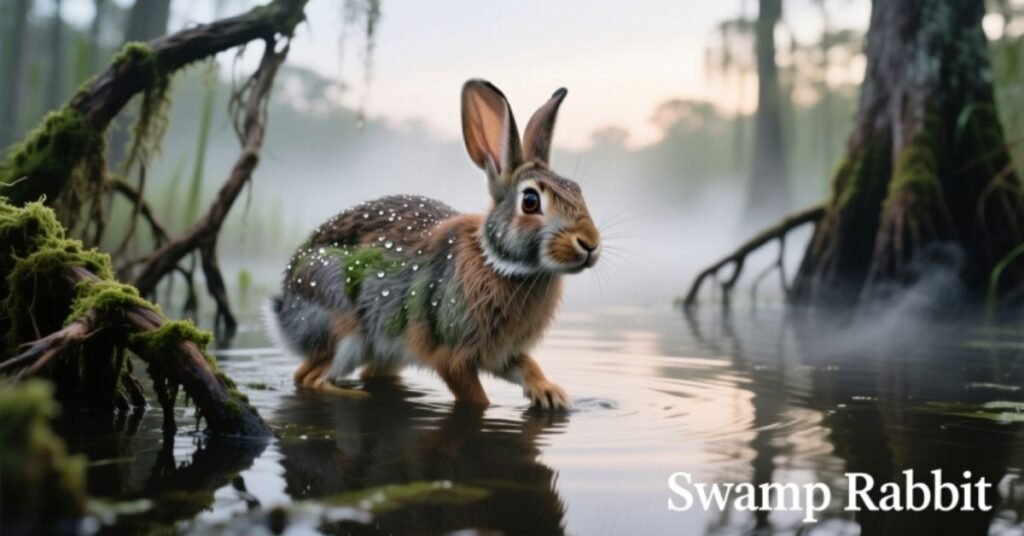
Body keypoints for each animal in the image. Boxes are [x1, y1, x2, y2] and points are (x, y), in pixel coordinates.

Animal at [264, 79, 600, 410]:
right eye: (530, 201)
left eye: (577, 190)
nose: (590, 244)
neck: (497, 261)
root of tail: (285, 308)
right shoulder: (451, 354)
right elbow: (474, 396)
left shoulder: (502, 352)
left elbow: (528, 366)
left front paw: (551, 395)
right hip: (341, 326)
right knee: (307, 377)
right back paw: (355, 396)